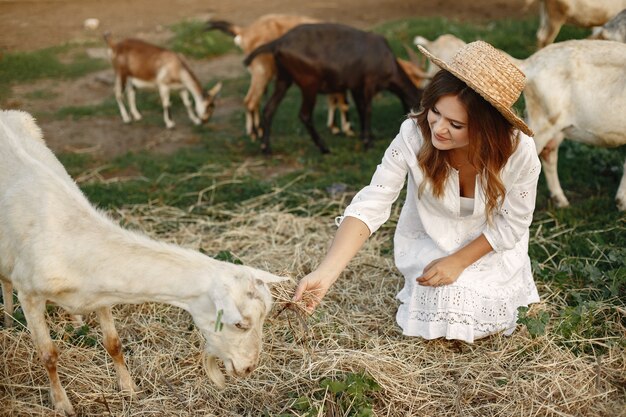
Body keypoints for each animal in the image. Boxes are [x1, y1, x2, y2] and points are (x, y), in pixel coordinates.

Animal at [0, 109, 288, 412]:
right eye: (240, 324)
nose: (248, 368)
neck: (72, 238)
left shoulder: (100, 292)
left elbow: (113, 343)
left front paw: (129, 389)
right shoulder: (29, 292)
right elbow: (48, 355)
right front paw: (62, 404)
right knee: (5, 281)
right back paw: (7, 319)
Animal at [241, 22, 422, 154]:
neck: (387, 60)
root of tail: (279, 41)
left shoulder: (356, 87)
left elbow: (361, 109)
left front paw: (365, 136)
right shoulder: (368, 84)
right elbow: (368, 109)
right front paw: (368, 142)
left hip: (283, 79)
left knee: (269, 108)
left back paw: (266, 148)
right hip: (309, 84)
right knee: (304, 115)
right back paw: (323, 147)